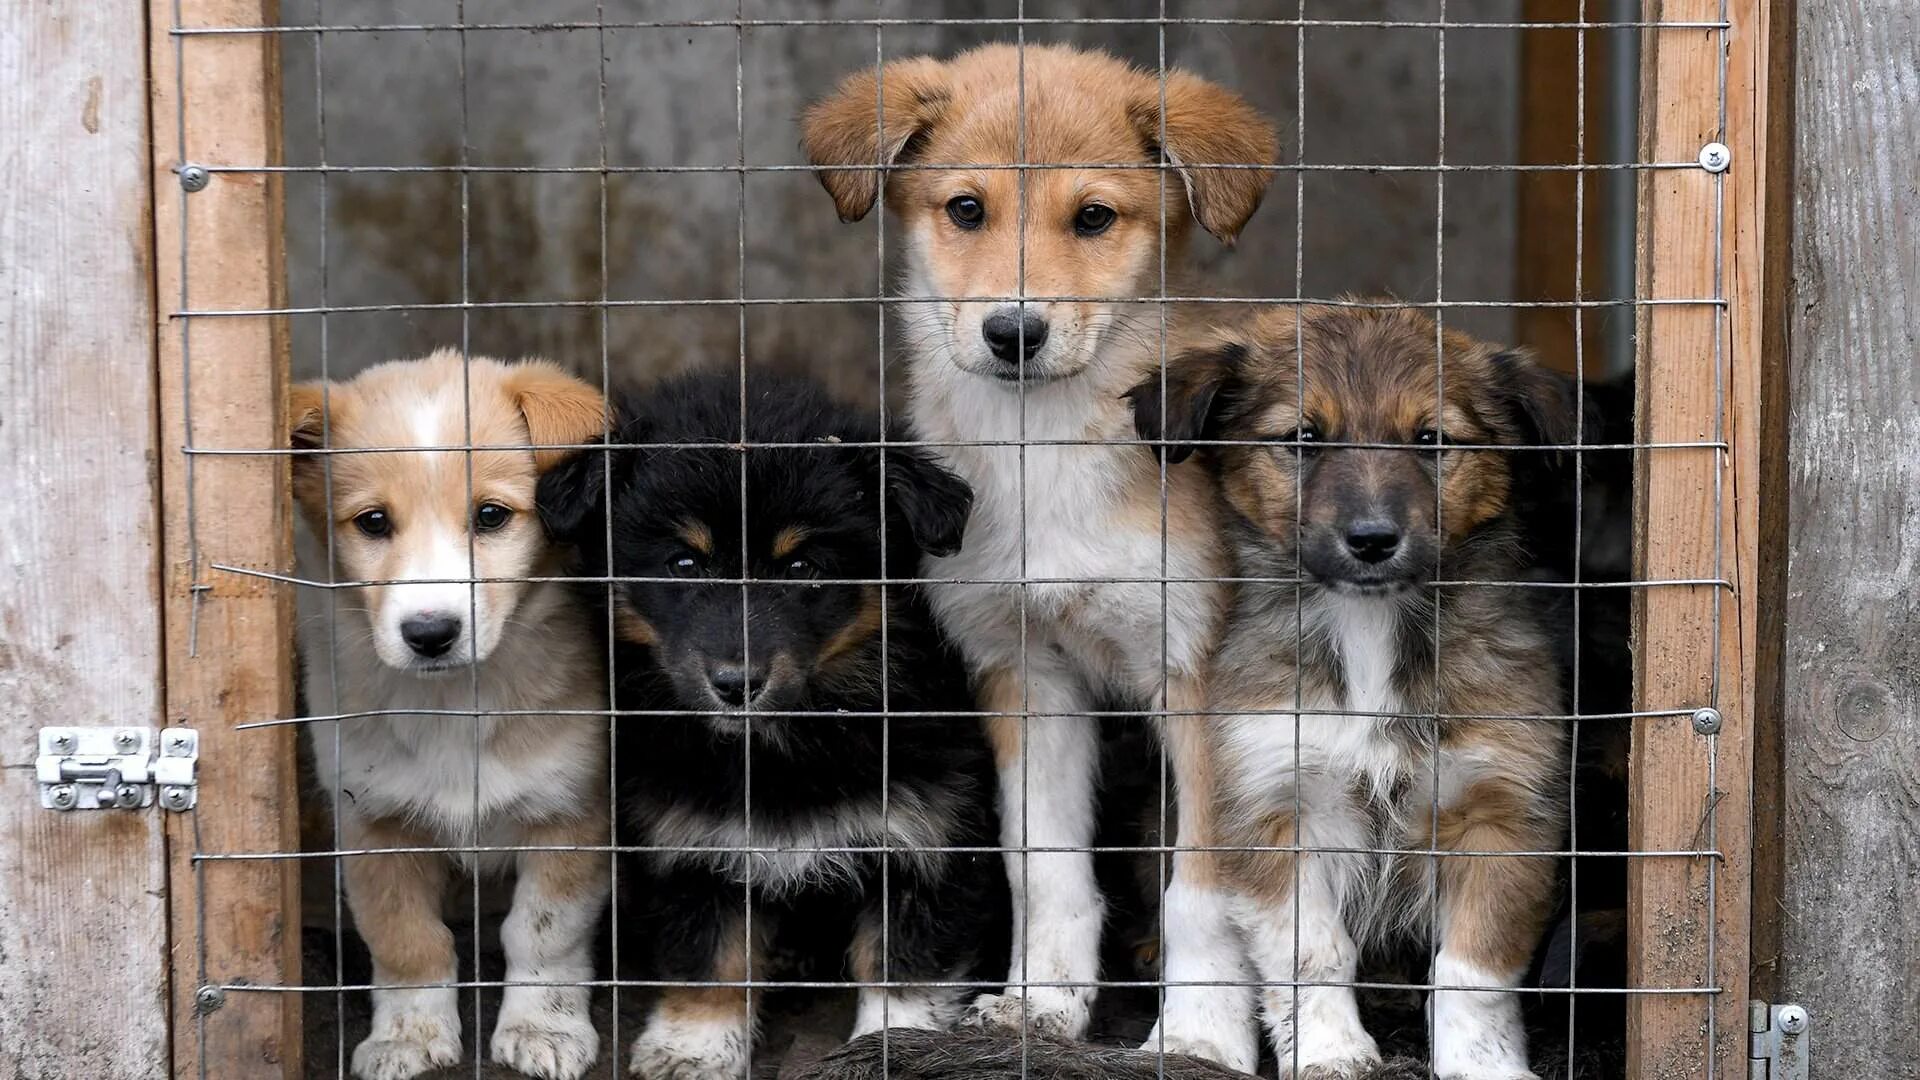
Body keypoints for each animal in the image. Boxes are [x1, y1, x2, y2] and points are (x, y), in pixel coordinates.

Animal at [291, 351, 610, 1076]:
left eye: (491, 516)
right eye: (373, 522)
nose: (430, 632)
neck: (453, 703)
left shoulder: (573, 811)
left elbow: (543, 933)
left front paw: (544, 1028)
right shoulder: (372, 819)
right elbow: (408, 939)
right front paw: (408, 1036)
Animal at [533, 372, 998, 1076]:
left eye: (802, 568)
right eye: (683, 564)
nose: (736, 684)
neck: (783, 744)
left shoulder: (929, 839)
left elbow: (902, 960)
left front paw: (894, 1045)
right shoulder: (691, 840)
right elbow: (710, 951)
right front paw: (693, 1048)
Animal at [806, 44, 1274, 1045]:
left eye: (1094, 217)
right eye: (966, 209)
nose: (1012, 332)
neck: (1047, 453)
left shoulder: (1202, 678)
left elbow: (1205, 886)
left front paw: (1201, 1035)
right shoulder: (1025, 672)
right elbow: (1043, 865)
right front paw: (1042, 1002)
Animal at [1121, 305, 1574, 1076]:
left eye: (1432, 440)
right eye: (1303, 438)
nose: (1372, 539)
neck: (1369, 630)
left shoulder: (1504, 815)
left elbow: (1474, 969)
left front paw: (1483, 1064)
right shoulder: (1278, 807)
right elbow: (1313, 954)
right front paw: (1331, 1051)